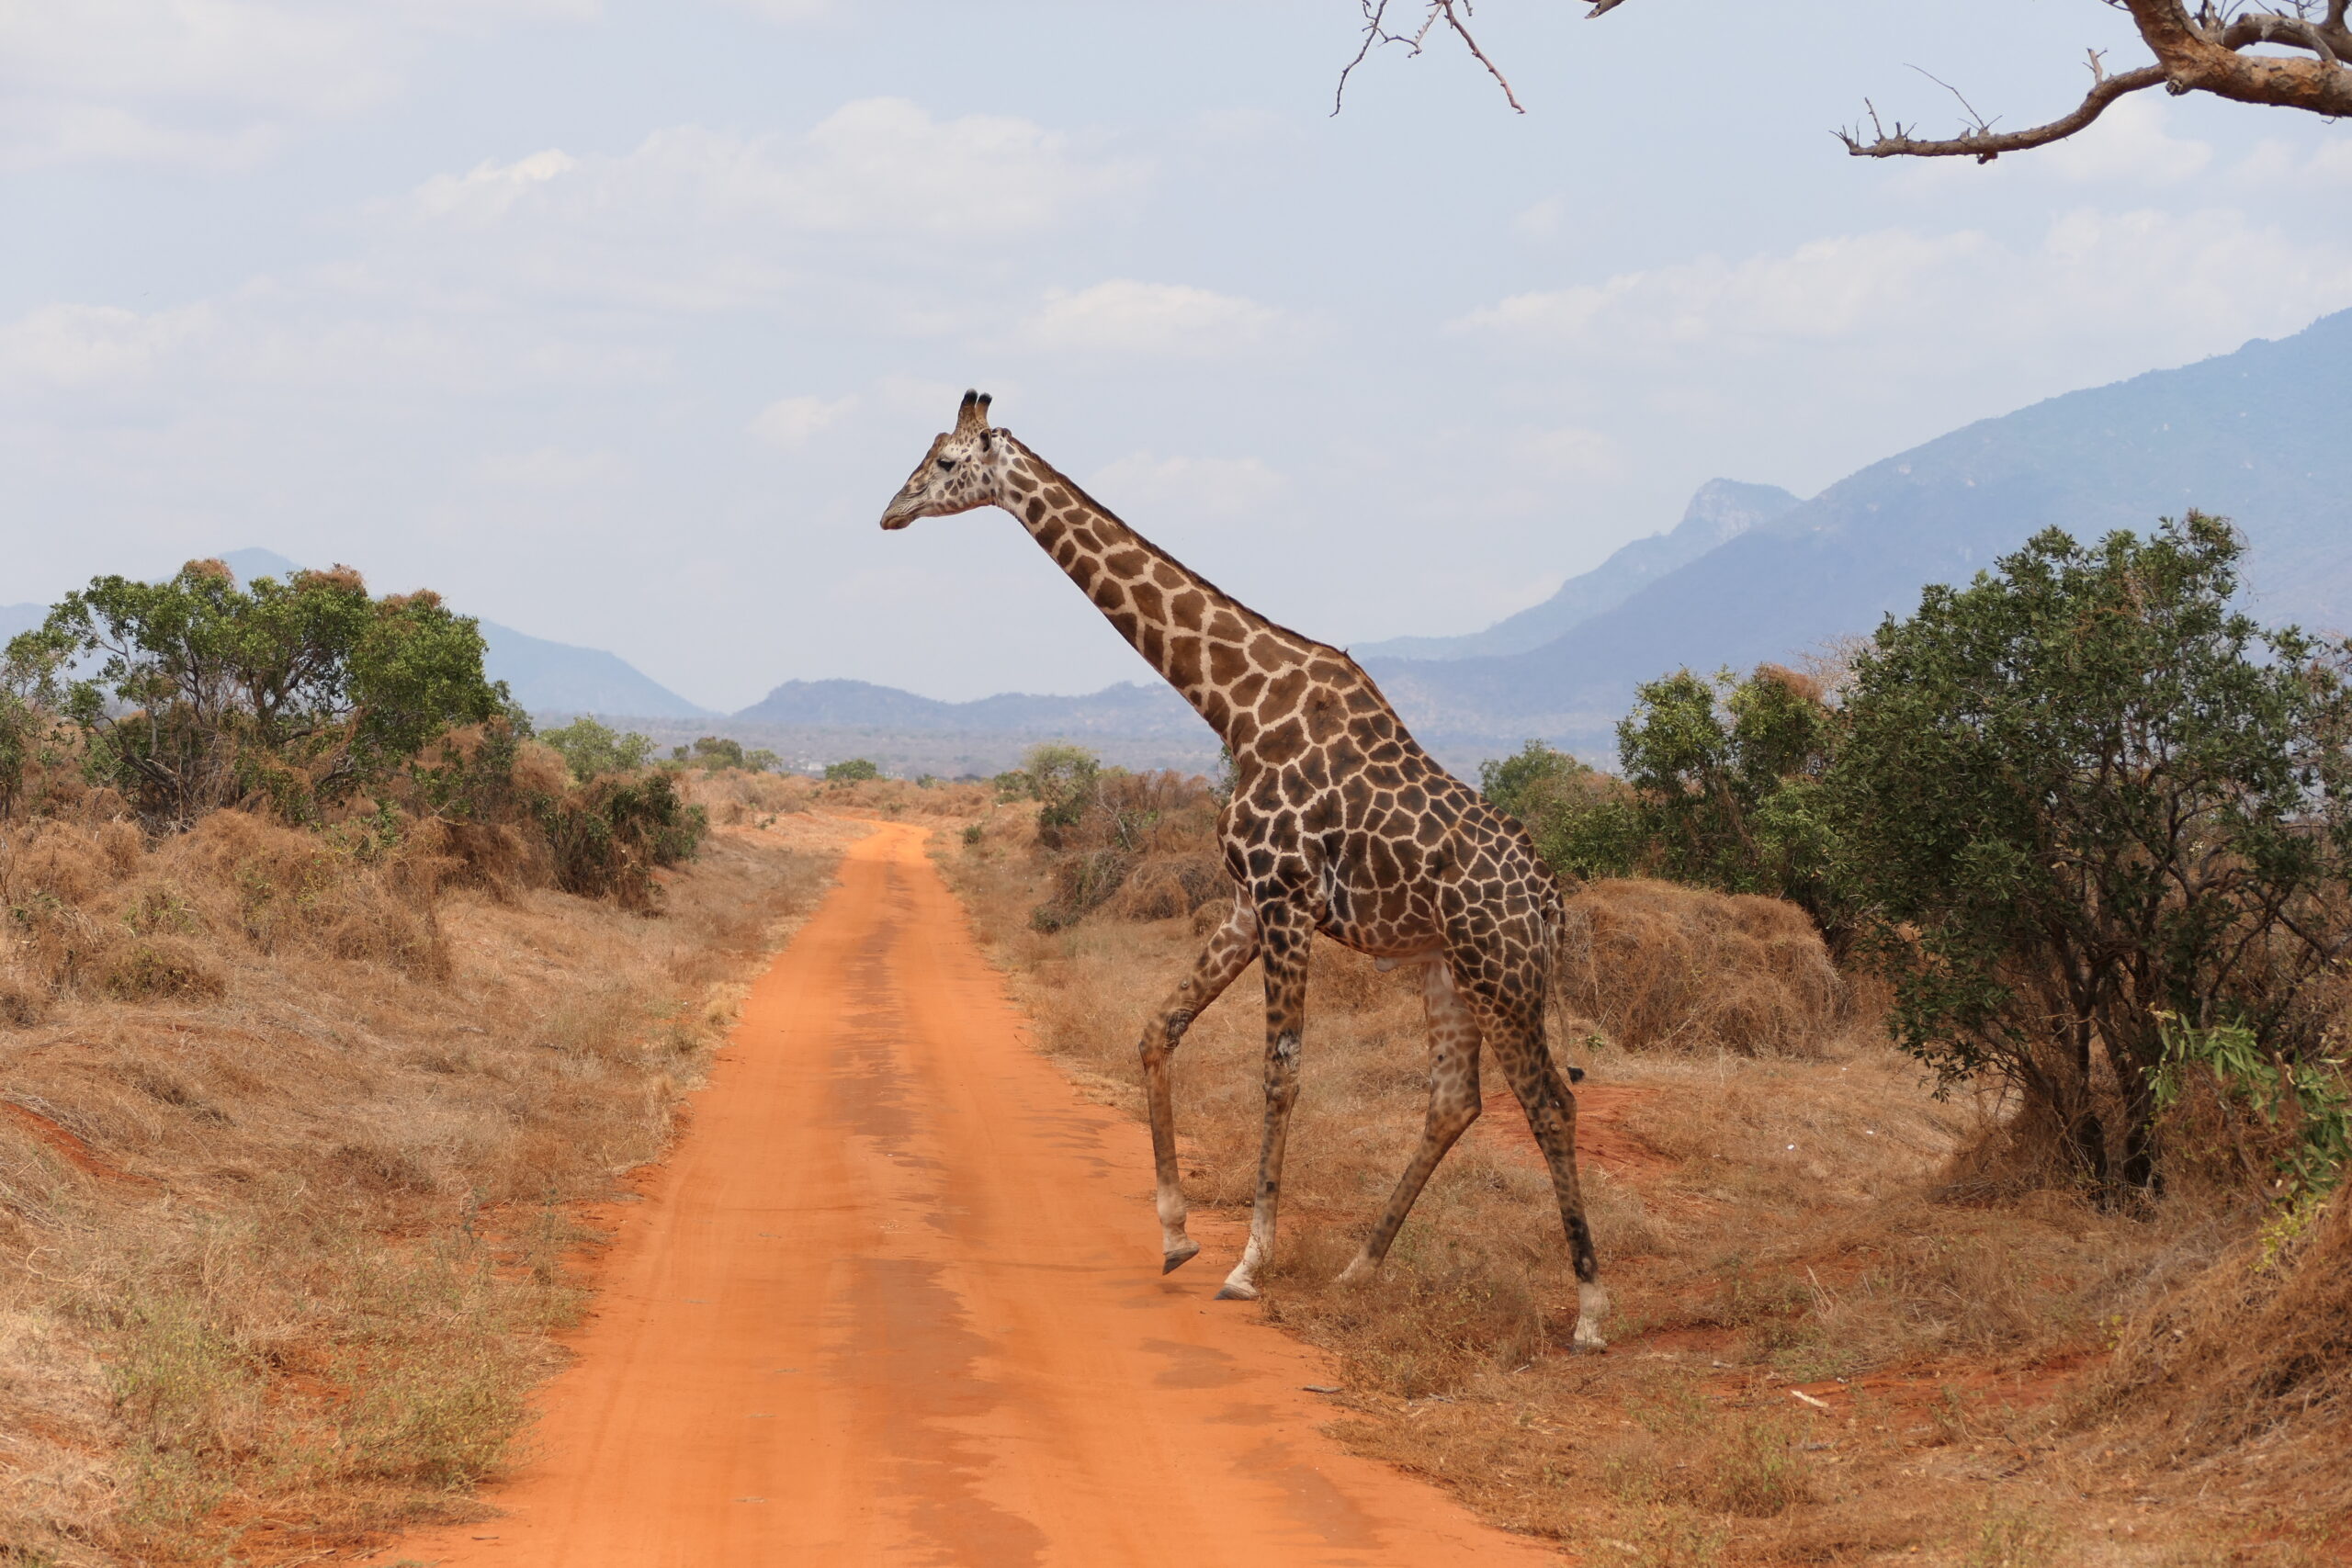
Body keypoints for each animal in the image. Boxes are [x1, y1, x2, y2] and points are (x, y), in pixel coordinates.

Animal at [879, 391, 1606, 1349]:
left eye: (948, 463)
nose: (890, 511)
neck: (1233, 702)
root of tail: (1551, 902)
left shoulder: (1286, 895)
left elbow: (1281, 1071)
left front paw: (1248, 1263)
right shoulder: (1245, 899)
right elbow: (1158, 1028)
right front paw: (1176, 1233)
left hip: (1503, 972)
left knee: (1551, 1101)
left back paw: (1591, 1309)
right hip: (1445, 967)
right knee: (1455, 1100)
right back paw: (1358, 1266)